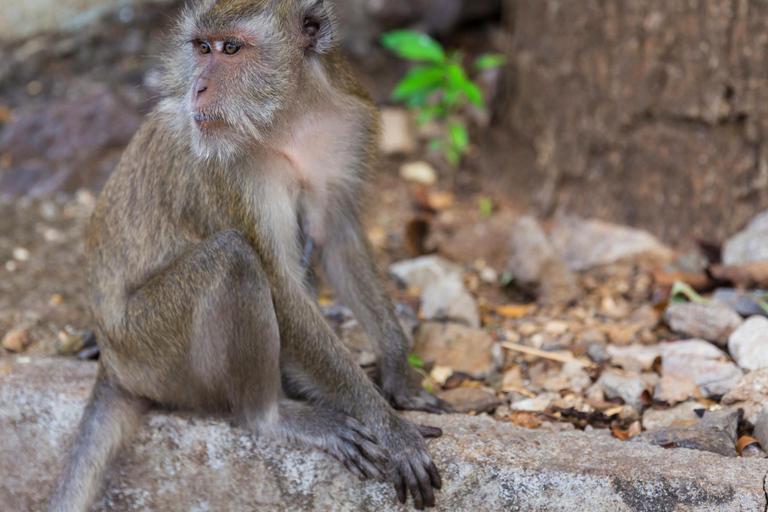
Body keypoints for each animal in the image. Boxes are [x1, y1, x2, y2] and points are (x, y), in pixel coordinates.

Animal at [48, 1, 450, 512]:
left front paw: (401, 374)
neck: (288, 118)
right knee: (232, 259)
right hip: (153, 352)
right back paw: (272, 415)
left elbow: (339, 238)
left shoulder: (350, 121)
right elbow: (279, 284)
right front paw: (391, 429)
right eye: (202, 49)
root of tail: (114, 369)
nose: (198, 86)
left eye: (231, 49)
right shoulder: (229, 169)